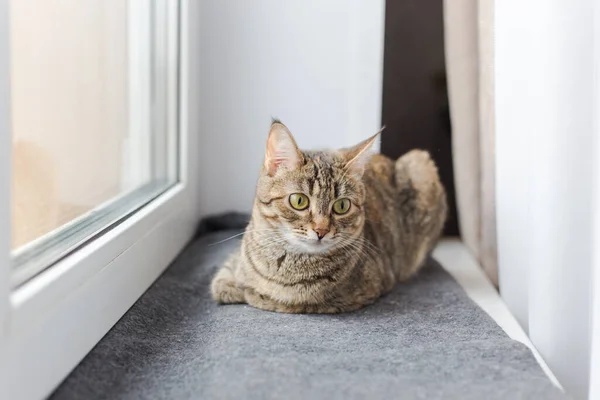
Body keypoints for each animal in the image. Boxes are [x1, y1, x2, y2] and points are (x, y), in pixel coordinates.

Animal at [211, 120, 446, 314]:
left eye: (342, 206)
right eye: (299, 201)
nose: (321, 230)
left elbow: (271, 298)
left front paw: (246, 291)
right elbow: (224, 278)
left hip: (420, 162)